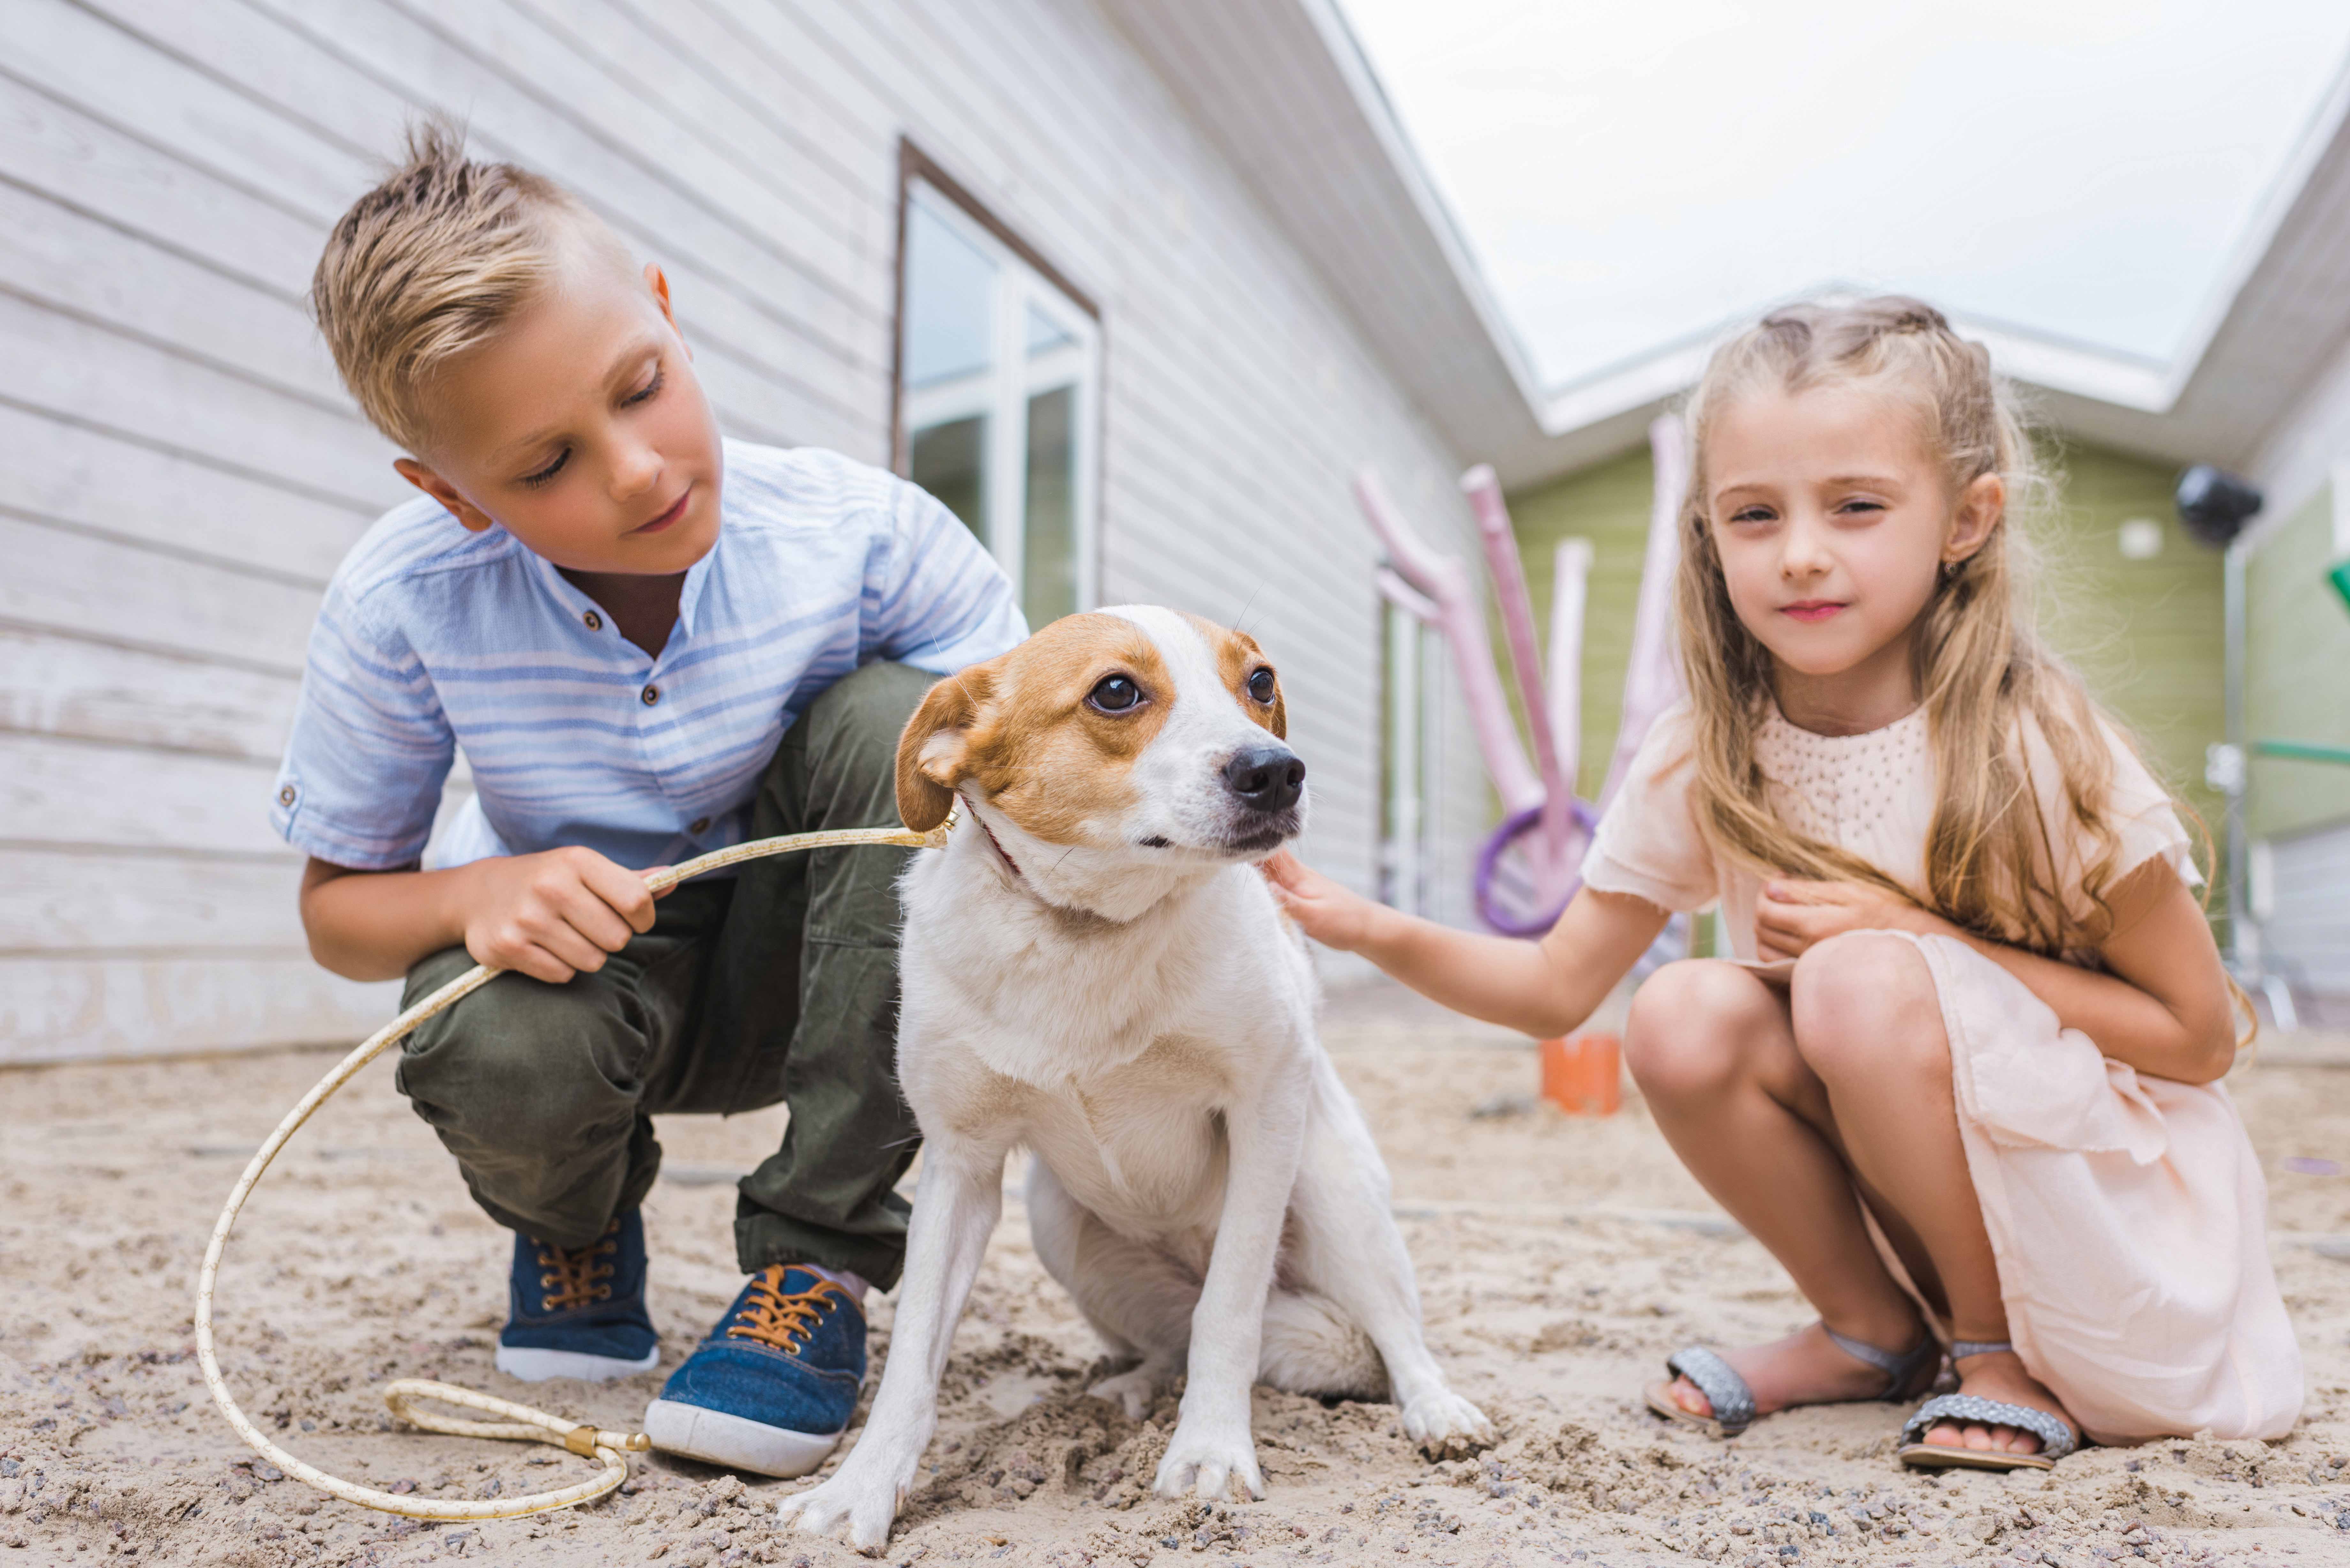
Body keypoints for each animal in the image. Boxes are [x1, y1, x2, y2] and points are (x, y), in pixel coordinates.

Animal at [780, 606, 1494, 1551]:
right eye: (1116, 691)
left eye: (1259, 681)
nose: (1277, 771)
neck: (1093, 932)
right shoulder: (961, 1164)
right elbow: (911, 1357)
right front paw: (859, 1489)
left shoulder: (1266, 1112)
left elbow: (1229, 1309)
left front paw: (1212, 1453)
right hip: (1059, 1225)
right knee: (1167, 1341)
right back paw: (1127, 1388)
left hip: (1334, 1191)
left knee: (1391, 1336)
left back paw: (1438, 1411)